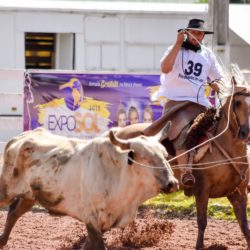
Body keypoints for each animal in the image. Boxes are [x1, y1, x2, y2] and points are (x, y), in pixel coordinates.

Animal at [114, 81, 250, 248]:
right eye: (237, 103)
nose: (245, 133)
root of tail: (118, 133)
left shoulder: (239, 193)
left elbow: (244, 226)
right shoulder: (202, 190)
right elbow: (202, 221)